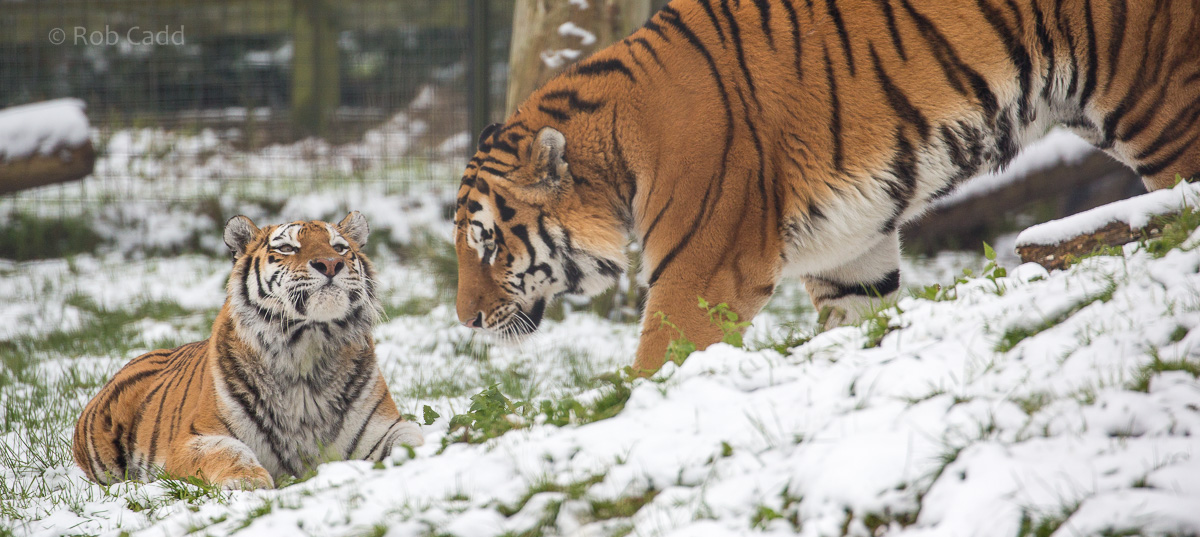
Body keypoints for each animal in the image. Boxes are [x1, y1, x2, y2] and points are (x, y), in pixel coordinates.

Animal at [73, 212, 422, 489]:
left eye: (340, 248)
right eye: (287, 248)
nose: (331, 264)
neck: (307, 348)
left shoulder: (383, 428)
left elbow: (413, 439)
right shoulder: (192, 440)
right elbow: (227, 451)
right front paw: (247, 480)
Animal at [453, 0, 1200, 373]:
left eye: (489, 243)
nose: (464, 321)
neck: (617, 159)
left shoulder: (701, 274)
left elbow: (655, 362)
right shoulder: (852, 250)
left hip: (1158, 104)